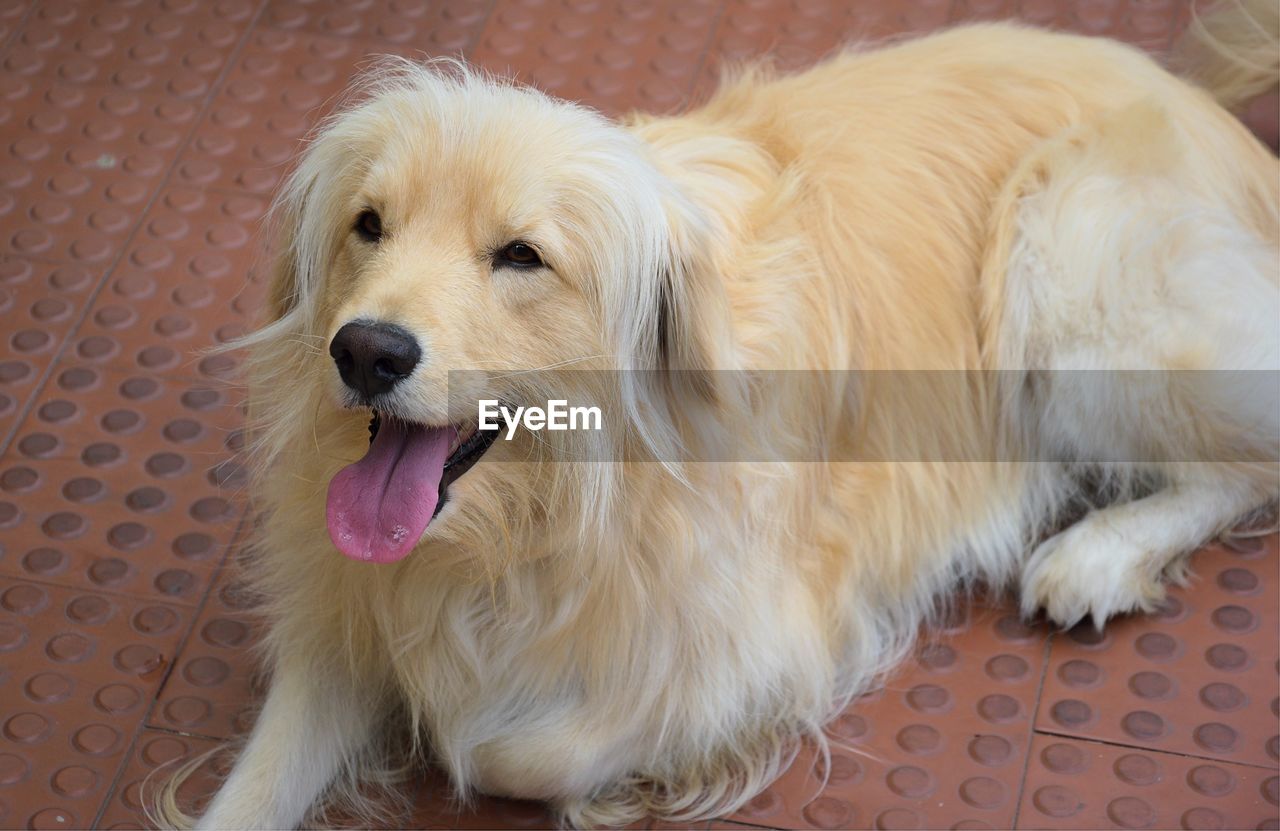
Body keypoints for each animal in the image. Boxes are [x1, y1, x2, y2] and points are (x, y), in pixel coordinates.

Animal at [160, 8, 1280, 829]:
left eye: (520, 255)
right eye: (369, 225)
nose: (366, 350)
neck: (542, 518)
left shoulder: (771, 639)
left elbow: (526, 749)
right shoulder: (342, 612)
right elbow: (261, 778)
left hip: (1067, 270)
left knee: (1246, 459)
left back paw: (1099, 552)